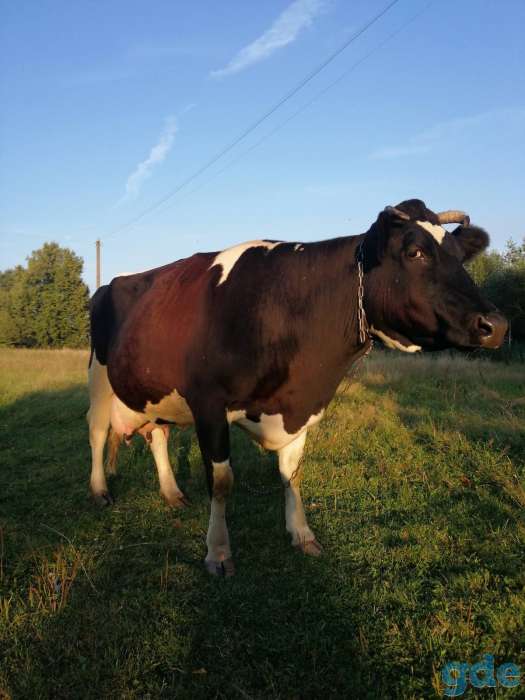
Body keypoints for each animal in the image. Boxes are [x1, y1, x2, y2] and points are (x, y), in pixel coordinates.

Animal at [87, 199, 507, 576]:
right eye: (414, 251)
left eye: (459, 256)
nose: (497, 325)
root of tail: (116, 280)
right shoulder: (208, 403)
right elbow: (221, 481)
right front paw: (218, 552)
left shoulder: (300, 405)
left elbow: (293, 473)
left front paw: (302, 534)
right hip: (100, 375)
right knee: (97, 431)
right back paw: (99, 490)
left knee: (157, 435)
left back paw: (172, 492)